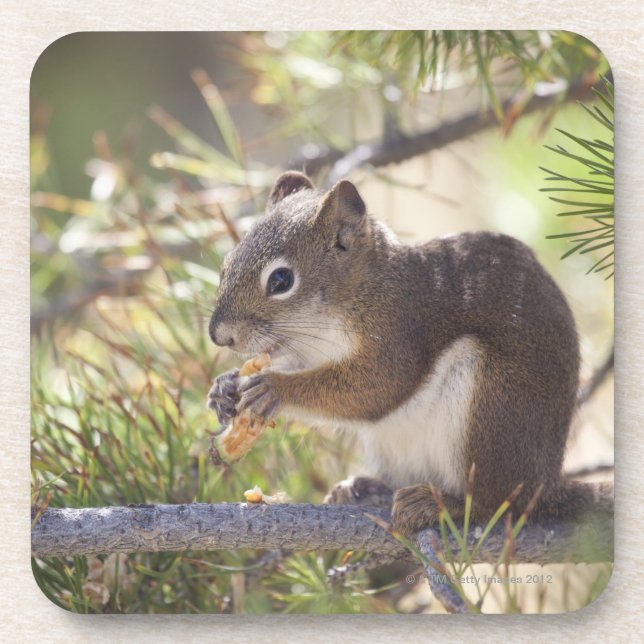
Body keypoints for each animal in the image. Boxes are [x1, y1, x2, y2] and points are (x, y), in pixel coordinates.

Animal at [207, 171, 612, 536]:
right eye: (226, 264)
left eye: (281, 280)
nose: (218, 335)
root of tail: (545, 486)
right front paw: (224, 389)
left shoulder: (399, 332)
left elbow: (377, 388)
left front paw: (274, 388)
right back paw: (366, 489)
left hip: (492, 407)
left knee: (496, 502)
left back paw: (439, 504)